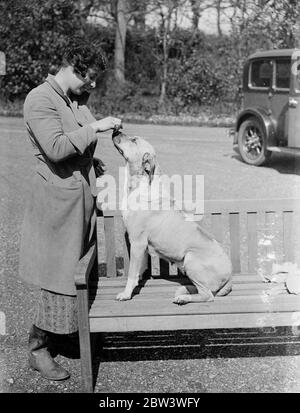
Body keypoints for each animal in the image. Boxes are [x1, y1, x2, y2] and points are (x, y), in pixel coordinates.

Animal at [112, 130, 232, 304]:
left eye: (134, 140)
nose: (116, 130)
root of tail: (230, 278)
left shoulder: (137, 243)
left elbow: (132, 273)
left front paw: (126, 293)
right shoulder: (141, 247)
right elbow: (139, 268)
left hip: (190, 259)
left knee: (207, 295)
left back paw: (183, 297)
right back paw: (184, 290)